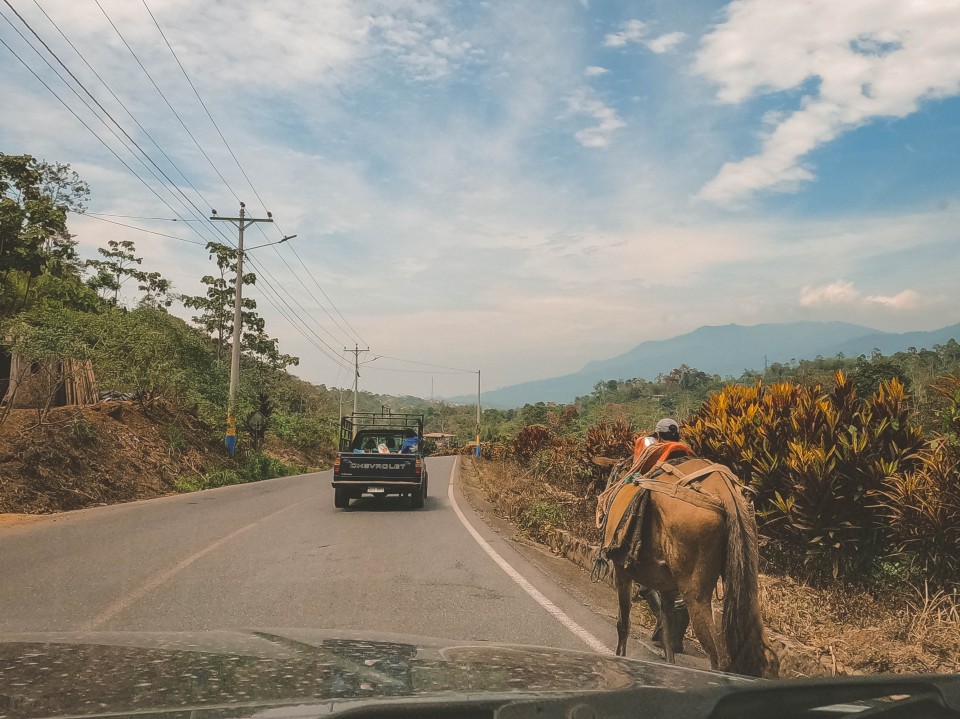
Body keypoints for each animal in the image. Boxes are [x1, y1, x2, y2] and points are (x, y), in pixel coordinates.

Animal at [600, 458, 780, 676]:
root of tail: (727, 494)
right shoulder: (667, 588)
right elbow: (667, 634)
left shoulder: (621, 571)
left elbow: (624, 624)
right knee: (766, 655)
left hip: (696, 593)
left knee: (719, 656)